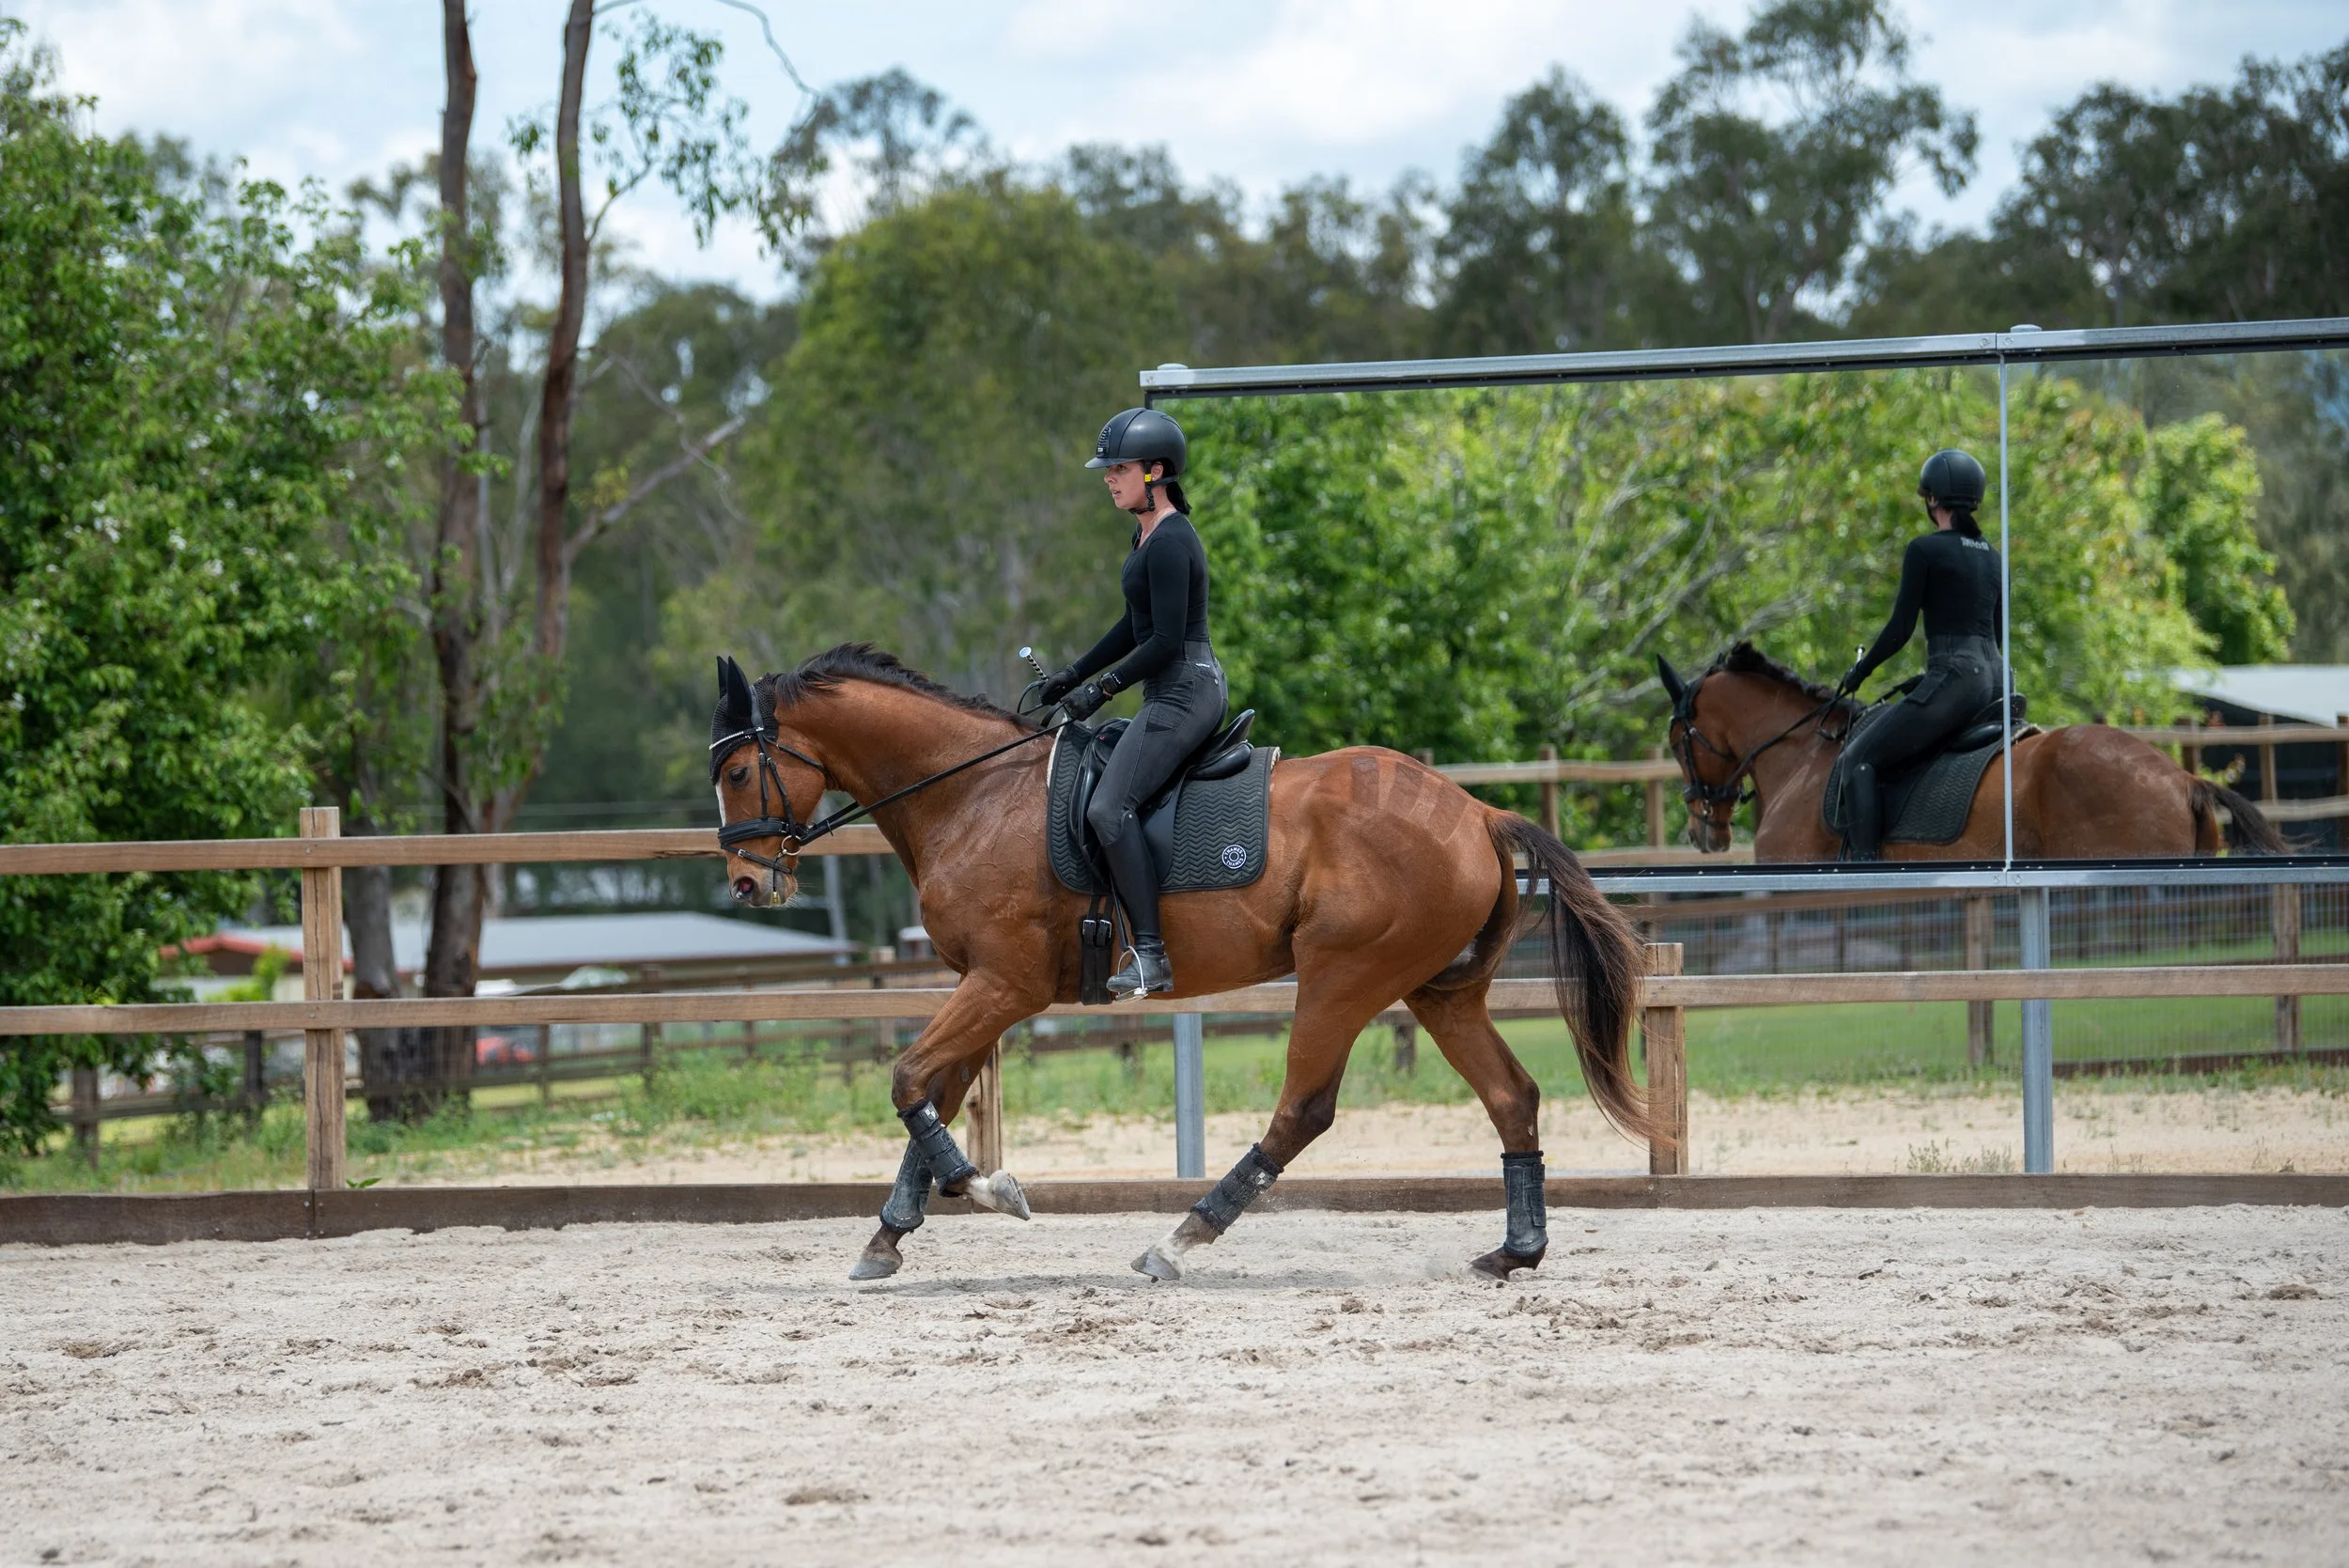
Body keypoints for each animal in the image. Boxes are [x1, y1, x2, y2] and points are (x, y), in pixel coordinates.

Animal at [708, 643, 1664, 1283]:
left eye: (738, 771)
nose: (749, 881)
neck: (970, 794)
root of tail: (1475, 812)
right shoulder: (982, 985)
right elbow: (933, 1098)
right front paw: (891, 1232)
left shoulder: (1003, 984)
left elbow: (910, 1079)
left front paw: (988, 1191)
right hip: (1439, 989)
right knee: (1512, 1095)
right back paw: (1516, 1250)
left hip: (1342, 976)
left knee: (1304, 1110)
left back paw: (1179, 1240)